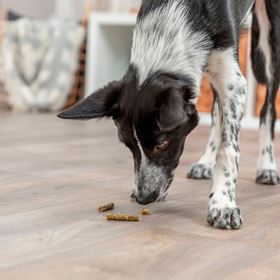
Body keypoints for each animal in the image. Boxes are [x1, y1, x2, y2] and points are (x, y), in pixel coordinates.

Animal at [58, 0, 278, 230]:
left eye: (162, 143)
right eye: (128, 145)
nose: (143, 198)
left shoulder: (233, 81)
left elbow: (228, 151)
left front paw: (223, 204)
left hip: (269, 42)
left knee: (267, 109)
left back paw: (267, 166)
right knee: (217, 113)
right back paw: (205, 163)